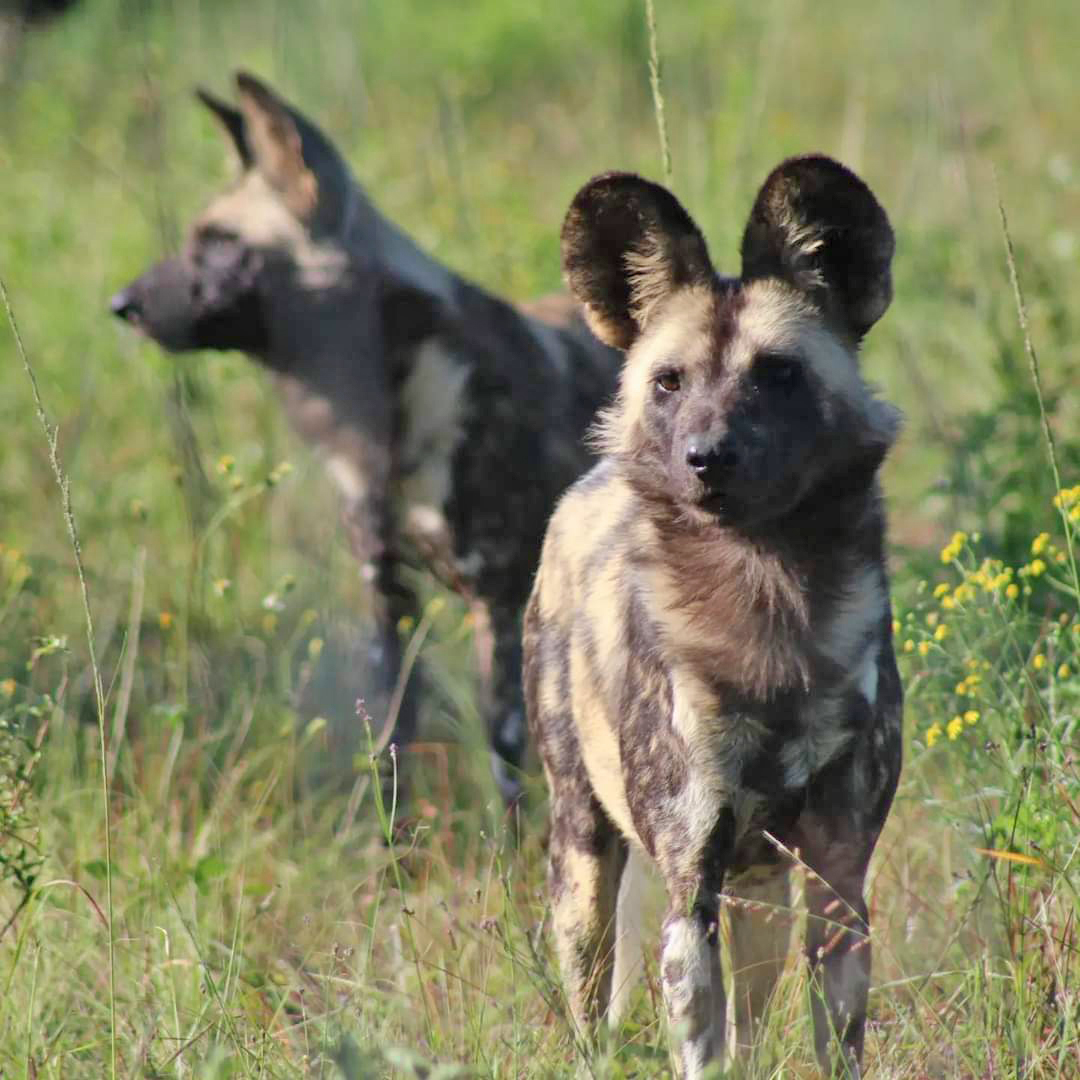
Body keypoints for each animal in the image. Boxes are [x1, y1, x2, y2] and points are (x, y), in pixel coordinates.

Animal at [109, 71, 622, 807]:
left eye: (220, 242)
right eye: (194, 239)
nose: (122, 305)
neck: (381, 415)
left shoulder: (498, 607)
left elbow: (506, 769)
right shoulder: (388, 599)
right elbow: (391, 749)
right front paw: (390, 839)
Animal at [522, 156, 902, 1075]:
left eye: (779, 373)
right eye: (669, 382)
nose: (706, 457)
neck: (766, 617)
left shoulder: (839, 880)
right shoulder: (688, 879)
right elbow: (700, 1043)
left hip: (761, 886)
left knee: (754, 1019)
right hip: (583, 862)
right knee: (590, 1003)